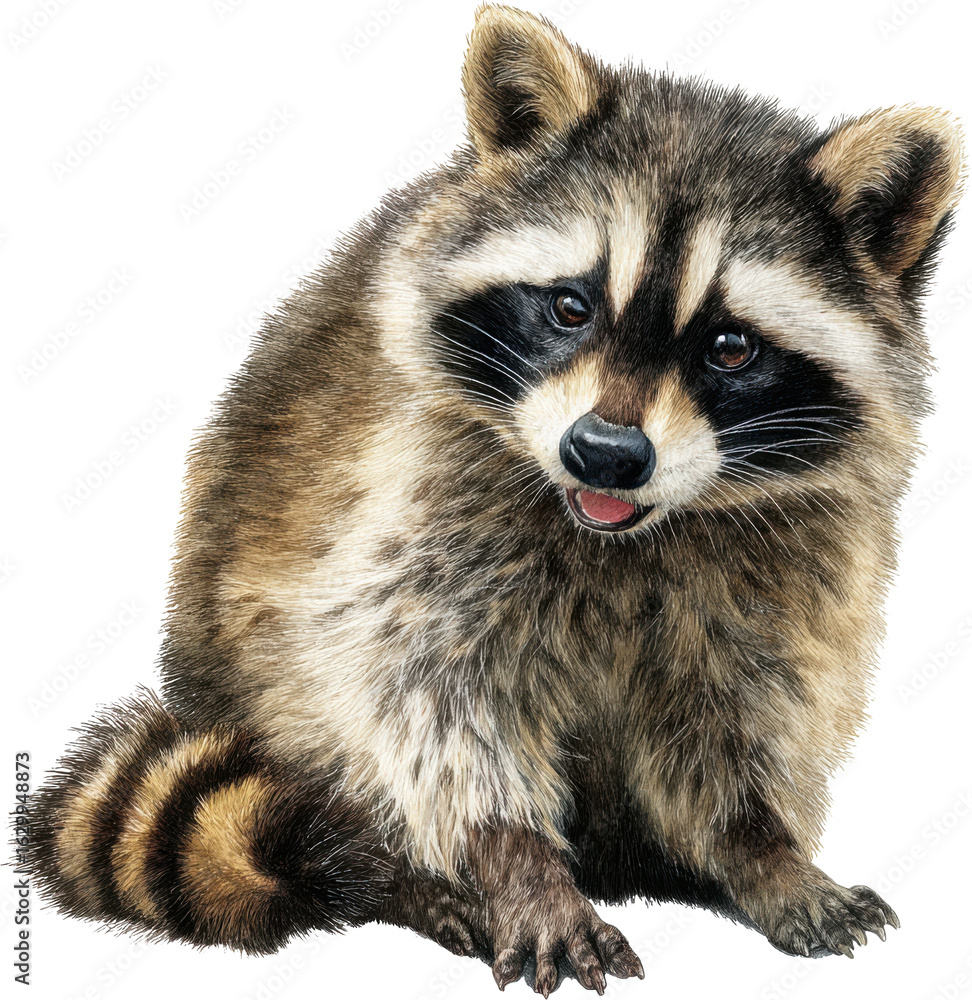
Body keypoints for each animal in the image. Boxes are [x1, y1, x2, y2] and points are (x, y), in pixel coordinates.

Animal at [29, 5, 964, 995]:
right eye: (570, 307)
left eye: (730, 347)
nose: (606, 454)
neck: (625, 532)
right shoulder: (419, 499)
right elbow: (430, 691)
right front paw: (515, 860)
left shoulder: (793, 560)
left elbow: (738, 711)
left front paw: (759, 848)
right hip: (250, 667)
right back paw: (402, 875)